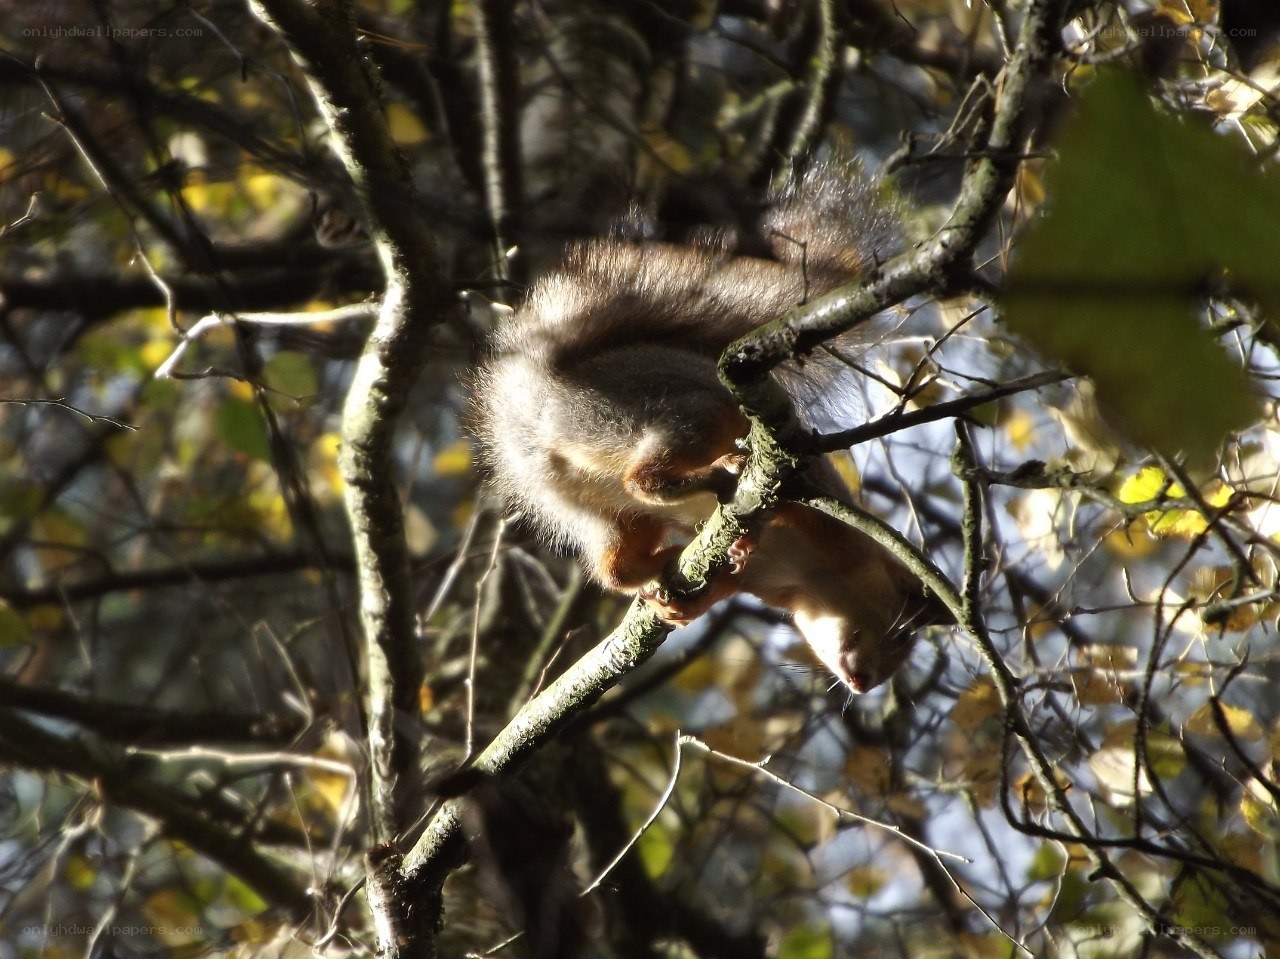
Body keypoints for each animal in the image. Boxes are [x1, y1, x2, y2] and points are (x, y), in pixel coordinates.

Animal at [472, 160, 949, 694]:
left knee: (614, 565)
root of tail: (543, 397)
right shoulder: (824, 513)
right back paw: (717, 473)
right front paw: (747, 536)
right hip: (679, 413)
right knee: (645, 479)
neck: (812, 582)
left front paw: (687, 604)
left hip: (592, 511)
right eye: (901, 631)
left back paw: (658, 564)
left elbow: (717, 585)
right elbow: (790, 506)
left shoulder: (751, 581)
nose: (866, 684)